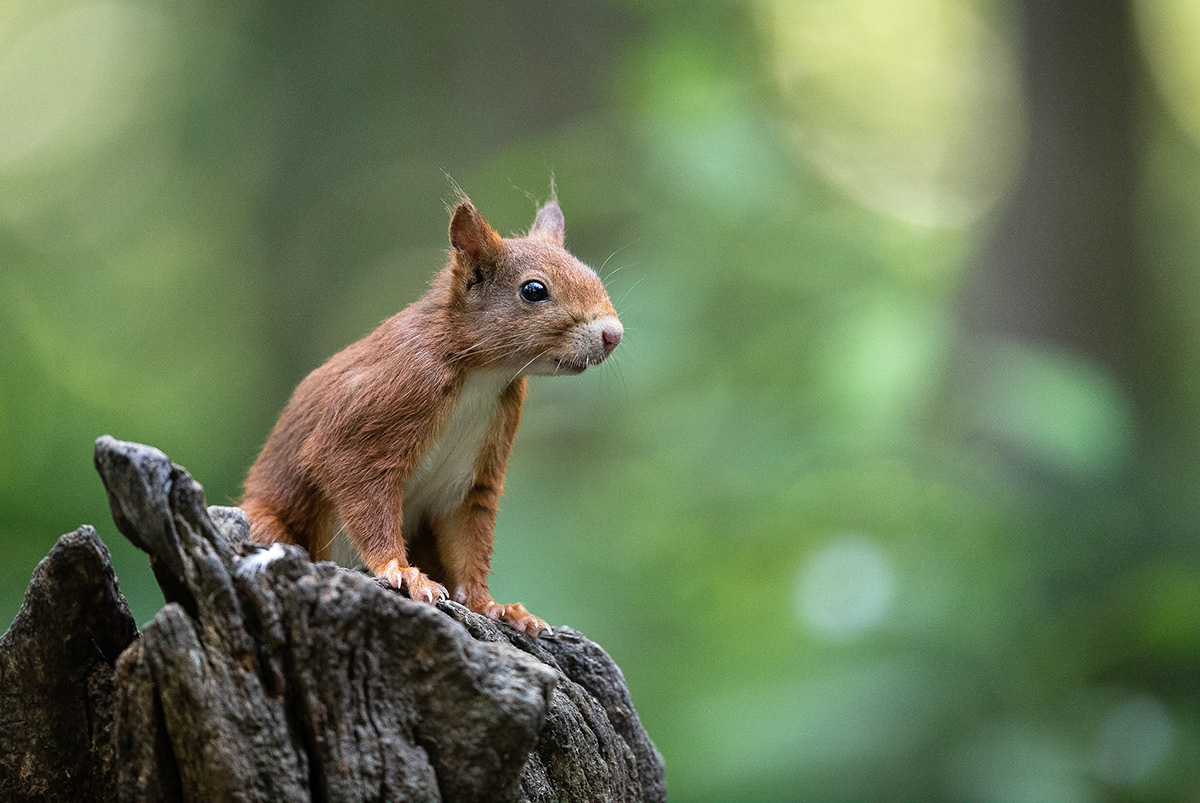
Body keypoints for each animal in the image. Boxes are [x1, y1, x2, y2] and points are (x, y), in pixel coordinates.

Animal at [240, 199, 624, 633]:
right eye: (534, 290)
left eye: (592, 274)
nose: (614, 334)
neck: (481, 374)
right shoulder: (387, 397)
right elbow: (351, 476)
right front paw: (402, 571)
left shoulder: (476, 470)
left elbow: (469, 535)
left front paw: (493, 606)